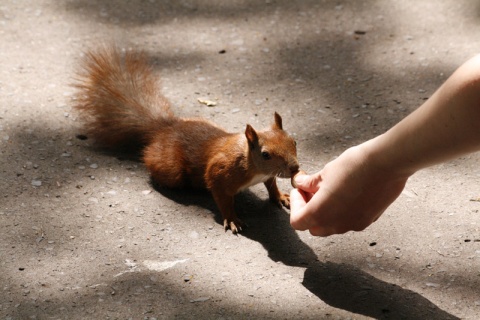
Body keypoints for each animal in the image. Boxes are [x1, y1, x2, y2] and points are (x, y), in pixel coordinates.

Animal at [73, 46, 300, 234]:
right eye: (265, 154)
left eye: (294, 142)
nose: (295, 168)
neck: (252, 165)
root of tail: (165, 128)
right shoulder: (219, 173)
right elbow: (223, 199)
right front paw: (232, 219)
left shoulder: (266, 175)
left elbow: (271, 184)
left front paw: (280, 196)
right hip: (172, 169)